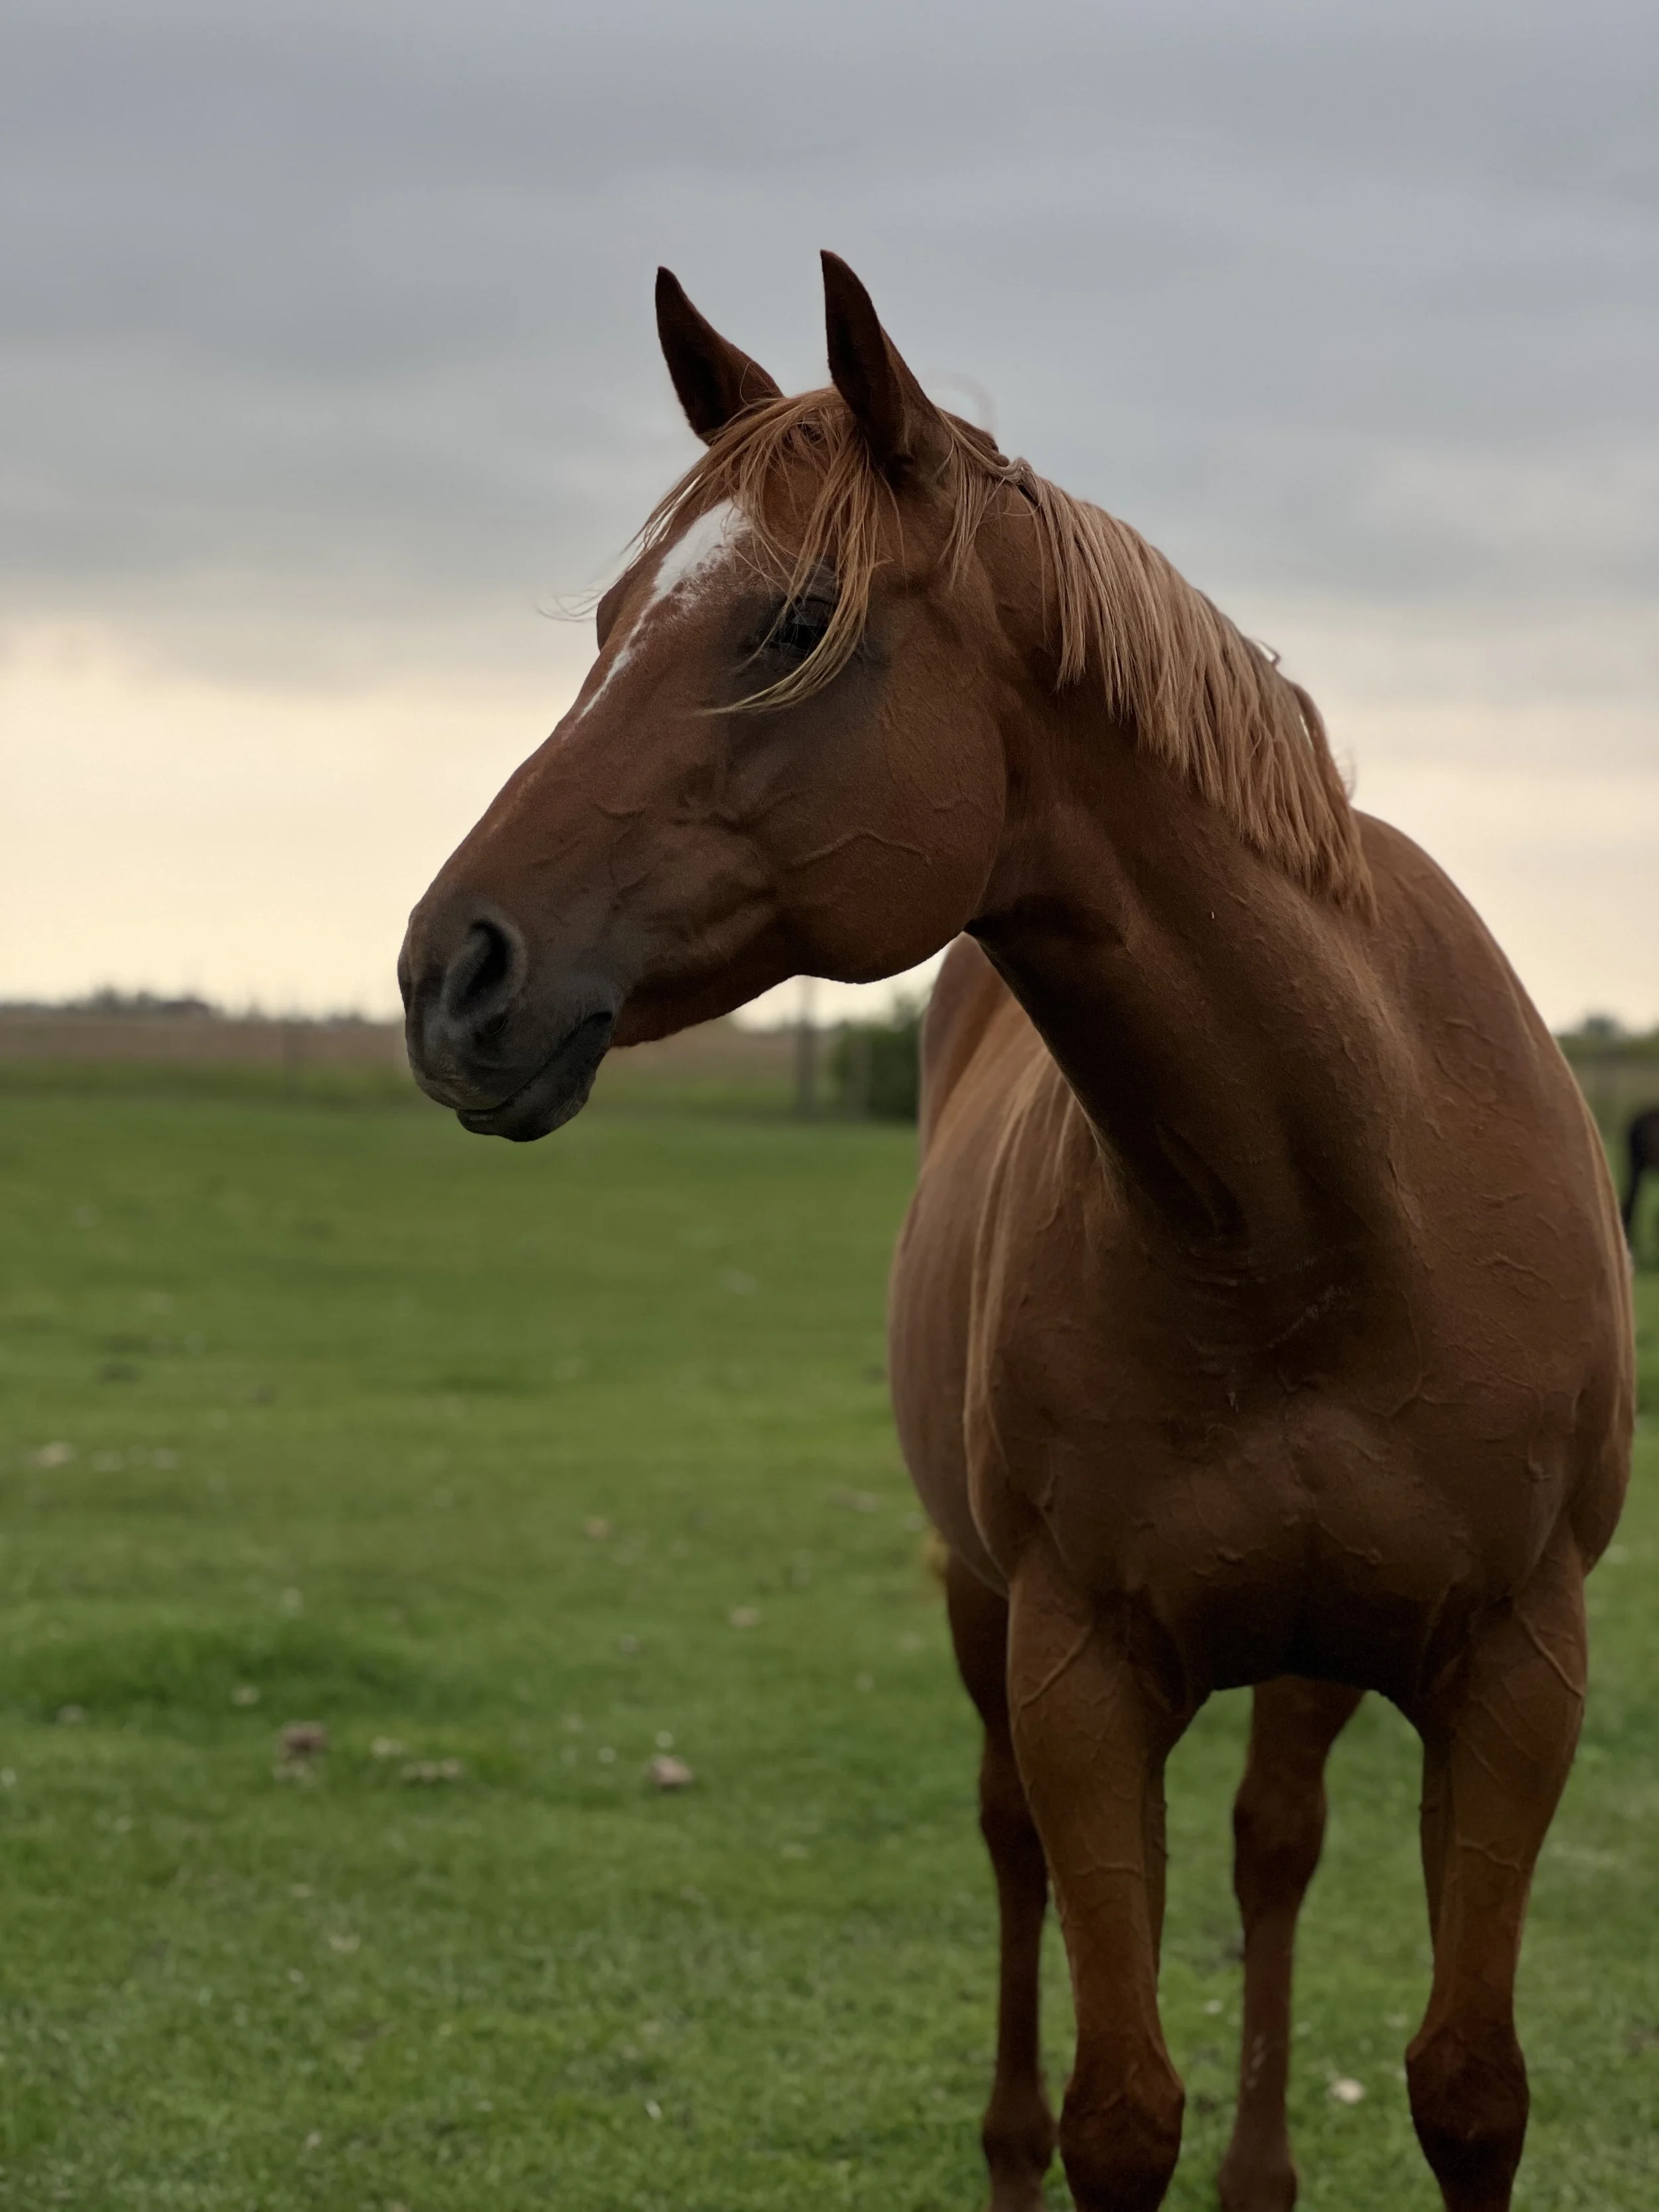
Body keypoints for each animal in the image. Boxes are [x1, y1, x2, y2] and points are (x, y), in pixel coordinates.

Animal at [399, 255, 1632, 2212]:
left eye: (789, 624)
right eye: (605, 618)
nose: (453, 972)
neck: (1319, 1216)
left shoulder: (1518, 1672)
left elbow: (1466, 2087)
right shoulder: (1078, 1672)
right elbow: (1113, 2101)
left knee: (1272, 1842)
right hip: (983, 1608)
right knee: (1016, 1861)